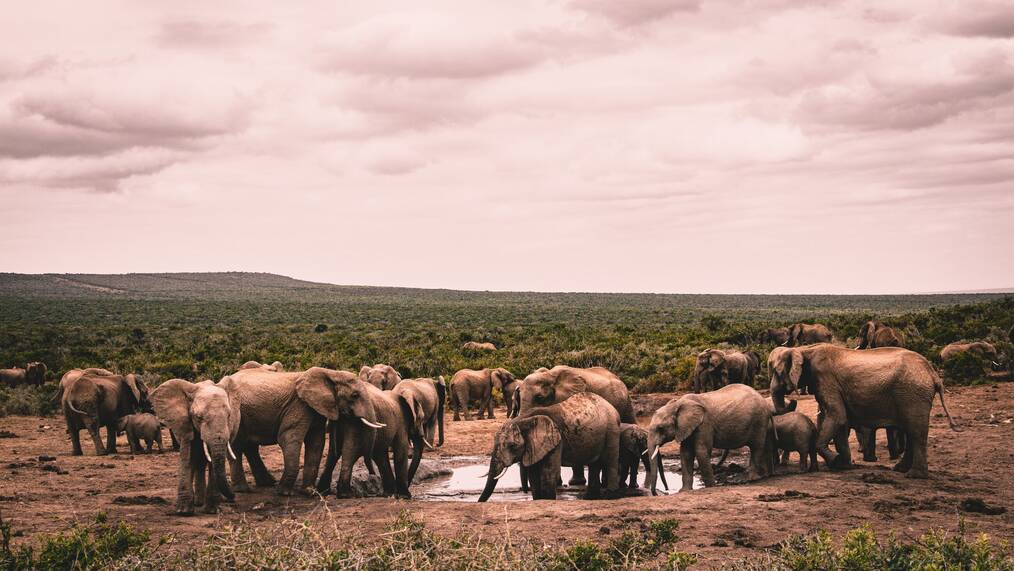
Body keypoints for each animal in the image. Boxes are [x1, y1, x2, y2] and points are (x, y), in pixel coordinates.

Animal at [151, 378, 241, 515]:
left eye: (229, 416)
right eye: (198, 417)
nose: (233, 496)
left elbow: (213, 462)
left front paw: (212, 511)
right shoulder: (186, 425)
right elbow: (188, 457)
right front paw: (184, 512)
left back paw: (201, 502)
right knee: (197, 462)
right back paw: (198, 502)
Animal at [478, 392, 621, 501]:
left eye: (512, 446)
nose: (479, 502)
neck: (524, 420)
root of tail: (612, 407)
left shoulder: (556, 441)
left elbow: (548, 471)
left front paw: (548, 500)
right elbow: (534, 474)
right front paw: (538, 500)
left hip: (612, 429)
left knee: (611, 461)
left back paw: (610, 496)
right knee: (594, 464)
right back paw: (590, 498)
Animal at [646, 384, 774, 494]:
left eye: (660, 428)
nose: (664, 491)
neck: (677, 404)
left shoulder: (704, 424)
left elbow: (701, 451)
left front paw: (711, 487)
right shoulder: (686, 427)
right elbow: (685, 453)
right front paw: (684, 491)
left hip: (759, 420)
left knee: (756, 447)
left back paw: (751, 479)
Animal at [768, 344, 959, 478]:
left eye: (776, 372)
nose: (793, 400)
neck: (804, 349)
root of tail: (933, 374)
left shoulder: (825, 379)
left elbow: (836, 415)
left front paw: (835, 461)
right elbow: (839, 420)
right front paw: (843, 466)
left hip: (913, 394)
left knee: (915, 431)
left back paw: (914, 475)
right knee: (911, 430)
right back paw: (900, 469)